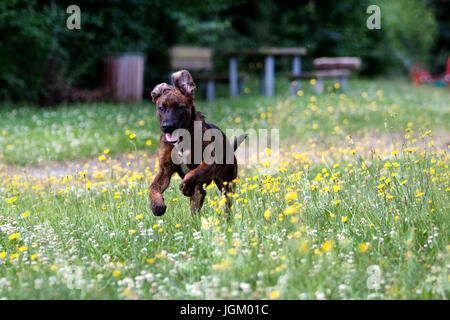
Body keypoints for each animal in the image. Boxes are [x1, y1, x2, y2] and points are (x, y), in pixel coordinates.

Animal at [149, 69, 246, 216]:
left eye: (179, 107)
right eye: (161, 108)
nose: (167, 126)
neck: (181, 140)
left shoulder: (209, 161)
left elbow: (192, 174)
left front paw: (185, 187)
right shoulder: (164, 169)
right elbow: (153, 186)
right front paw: (157, 205)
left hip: (227, 183)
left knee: (222, 200)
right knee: (200, 195)